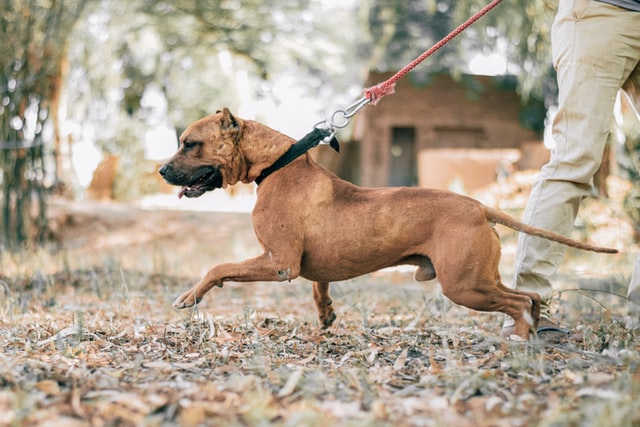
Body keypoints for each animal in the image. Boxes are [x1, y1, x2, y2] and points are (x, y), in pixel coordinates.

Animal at [158, 109, 616, 342]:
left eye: (190, 144)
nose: (161, 170)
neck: (277, 164)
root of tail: (479, 207)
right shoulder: (306, 266)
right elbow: (319, 289)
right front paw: (326, 316)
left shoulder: (279, 263)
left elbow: (219, 268)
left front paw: (189, 296)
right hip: (478, 278)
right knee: (530, 296)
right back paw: (534, 329)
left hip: (464, 285)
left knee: (519, 301)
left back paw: (519, 337)